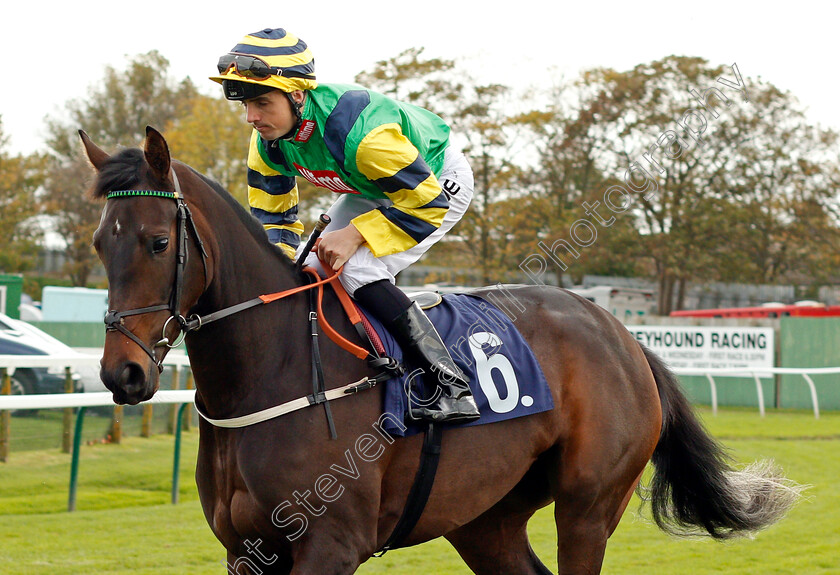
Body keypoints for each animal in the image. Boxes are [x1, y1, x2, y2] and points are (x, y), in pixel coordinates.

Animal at [82, 128, 796, 572]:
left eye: (156, 242)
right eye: (97, 242)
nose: (123, 373)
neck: (275, 368)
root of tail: (624, 337)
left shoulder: (329, 545)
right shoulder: (246, 551)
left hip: (590, 506)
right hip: (485, 516)